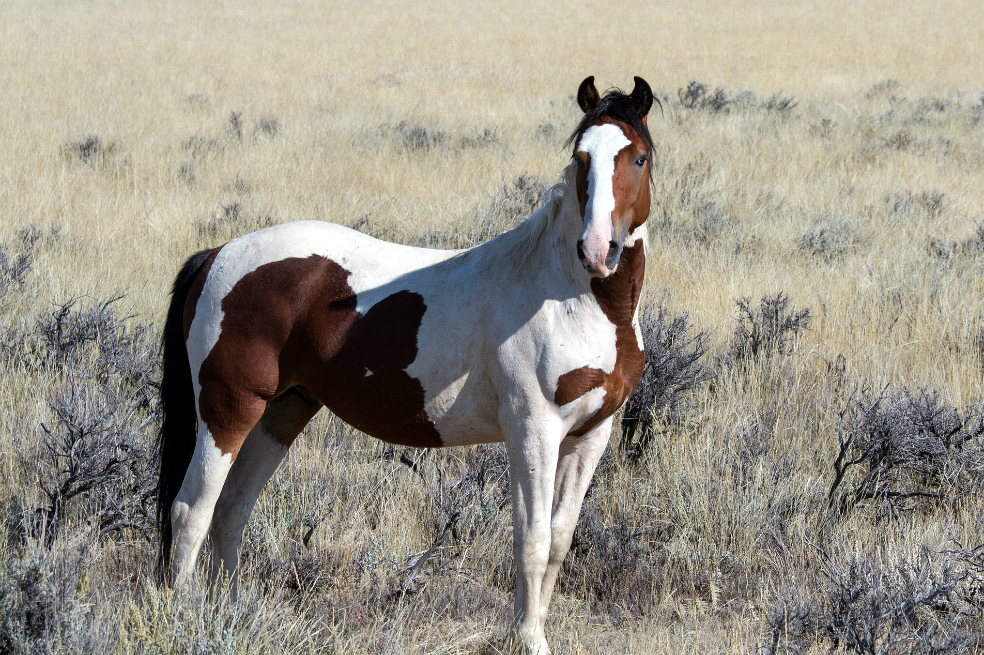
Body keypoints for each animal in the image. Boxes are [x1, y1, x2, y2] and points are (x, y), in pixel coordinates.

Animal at [157, 75, 655, 654]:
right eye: (581, 158)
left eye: (638, 157)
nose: (598, 250)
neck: (570, 296)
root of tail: (217, 255)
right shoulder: (534, 431)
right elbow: (530, 541)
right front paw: (529, 639)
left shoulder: (589, 435)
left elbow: (557, 540)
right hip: (227, 412)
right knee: (191, 511)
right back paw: (183, 621)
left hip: (282, 412)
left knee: (231, 510)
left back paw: (233, 616)